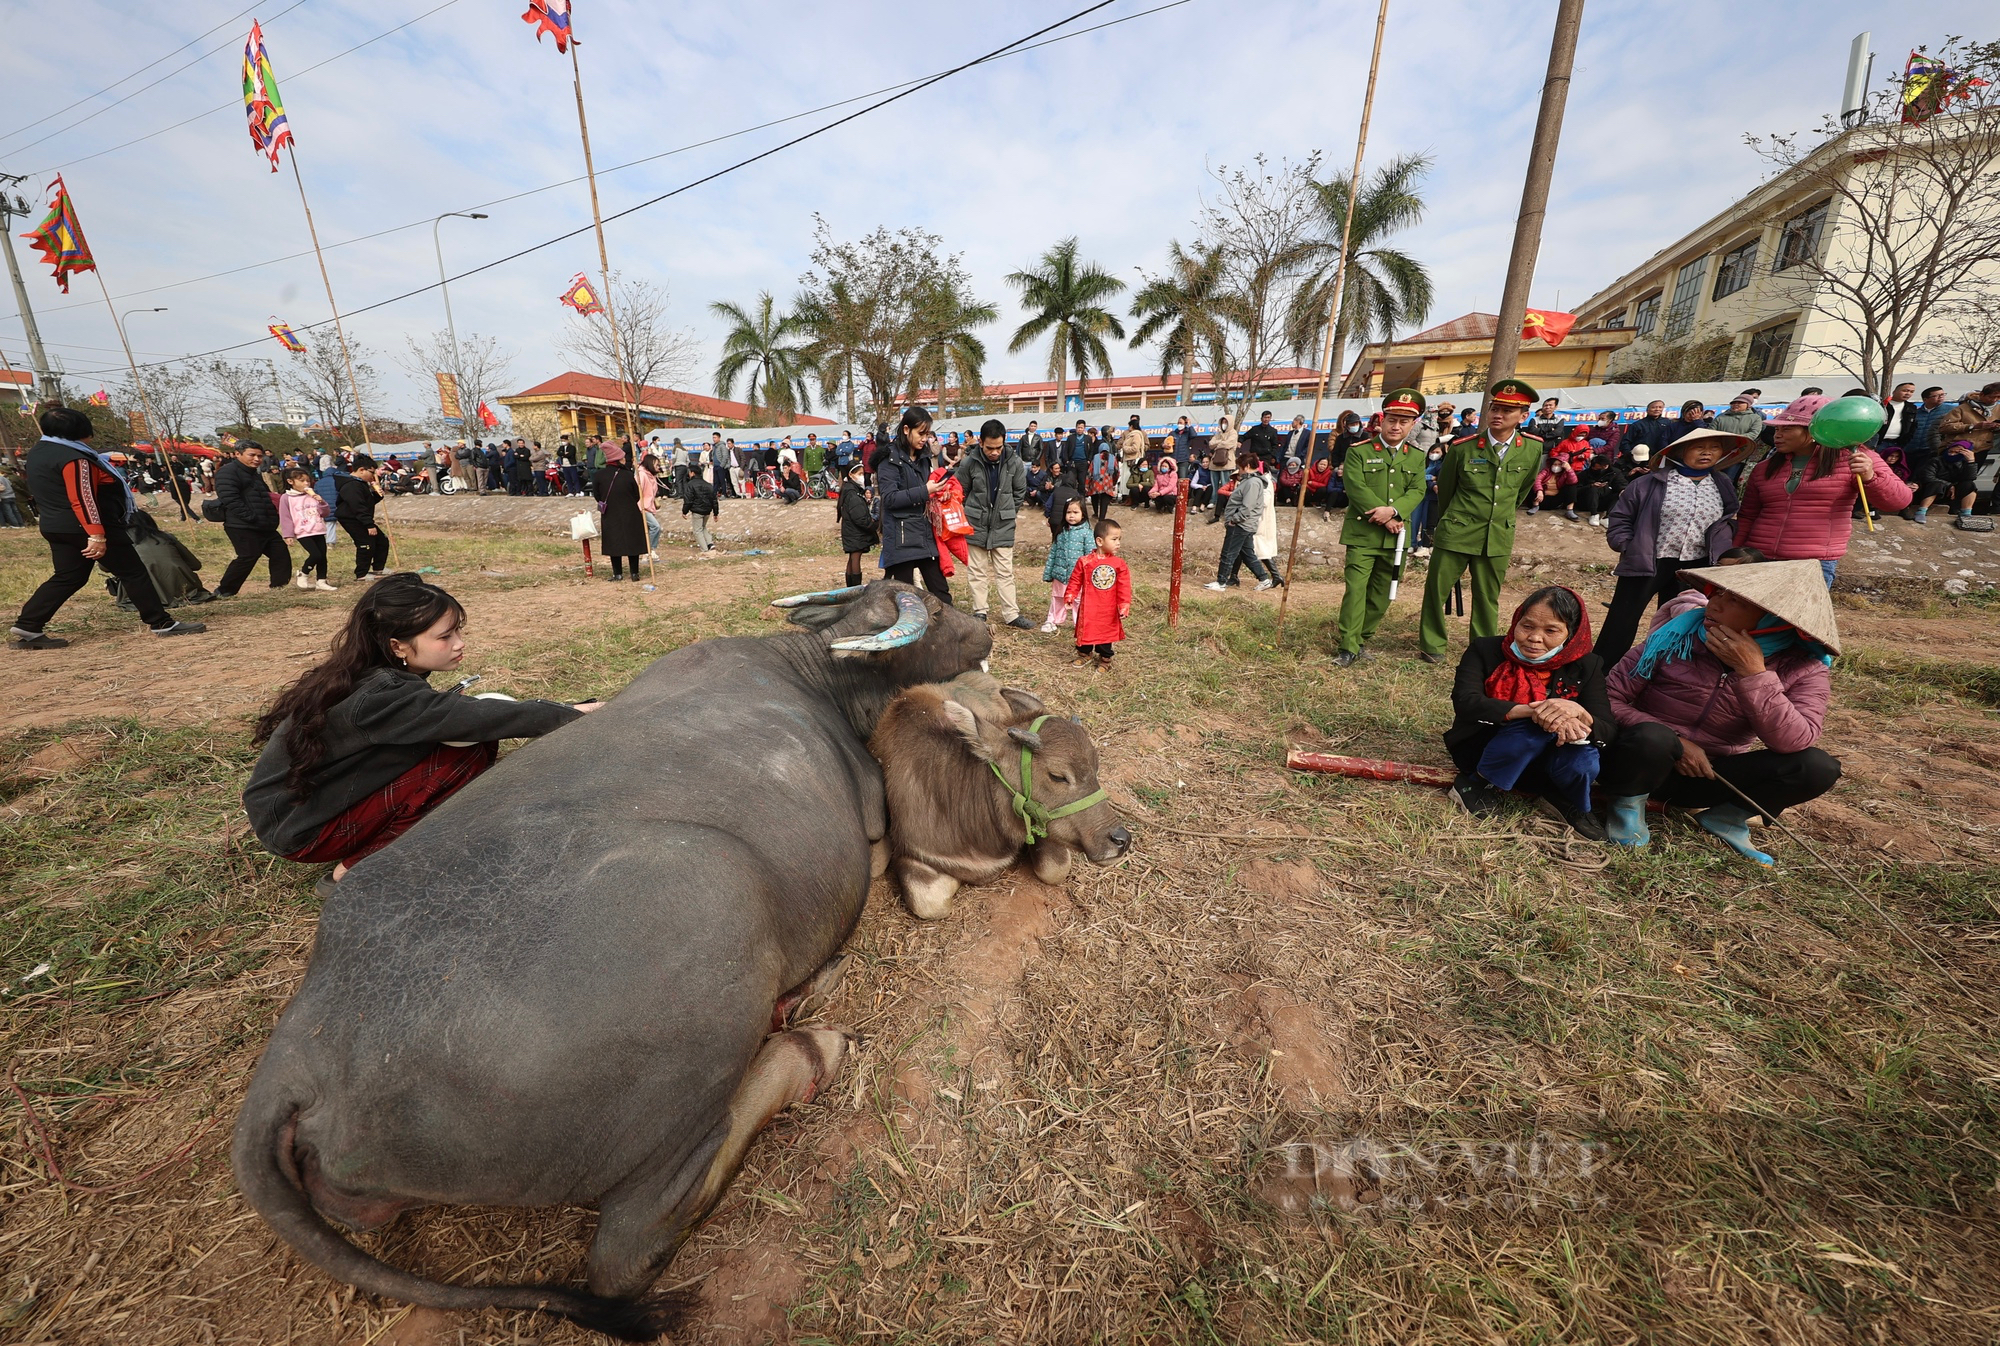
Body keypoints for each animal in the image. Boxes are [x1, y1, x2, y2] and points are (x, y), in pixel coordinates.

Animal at [234, 576, 992, 1336]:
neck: (815, 676)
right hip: (714, 922)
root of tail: (302, 1055)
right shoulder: (871, 816)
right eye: (934, 608)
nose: (985, 624)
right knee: (628, 1252)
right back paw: (810, 1042)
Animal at [872, 668, 1136, 920]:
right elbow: (929, 902)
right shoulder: (910, 854)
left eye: (1096, 768)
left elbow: (1055, 868)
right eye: (1058, 776)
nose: (1121, 839)